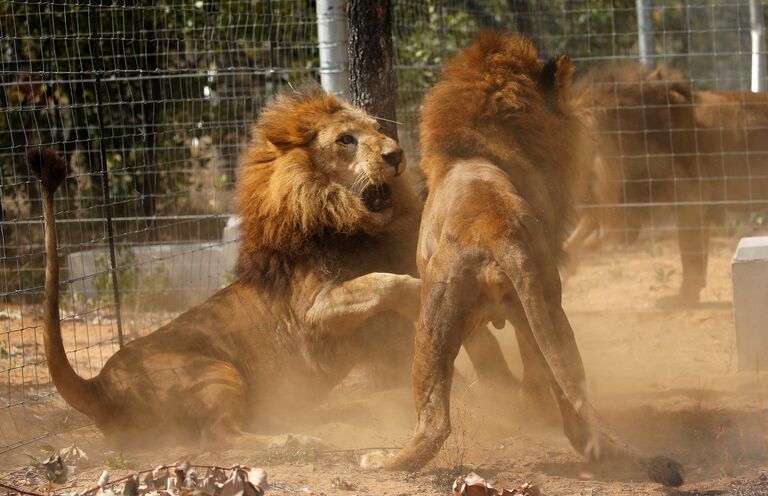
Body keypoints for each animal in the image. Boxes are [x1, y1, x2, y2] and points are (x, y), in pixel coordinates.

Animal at [34, 87, 432, 448]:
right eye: (345, 139)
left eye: (376, 128)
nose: (396, 154)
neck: (353, 221)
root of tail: (100, 386)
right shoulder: (313, 312)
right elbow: (380, 283)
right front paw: (418, 293)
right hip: (217, 371)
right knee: (219, 437)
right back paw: (293, 439)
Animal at [384, 33, 684, 486]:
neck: (475, 151)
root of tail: (498, 233)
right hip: (548, 309)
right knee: (571, 396)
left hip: (433, 321)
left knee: (435, 422)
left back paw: (383, 461)